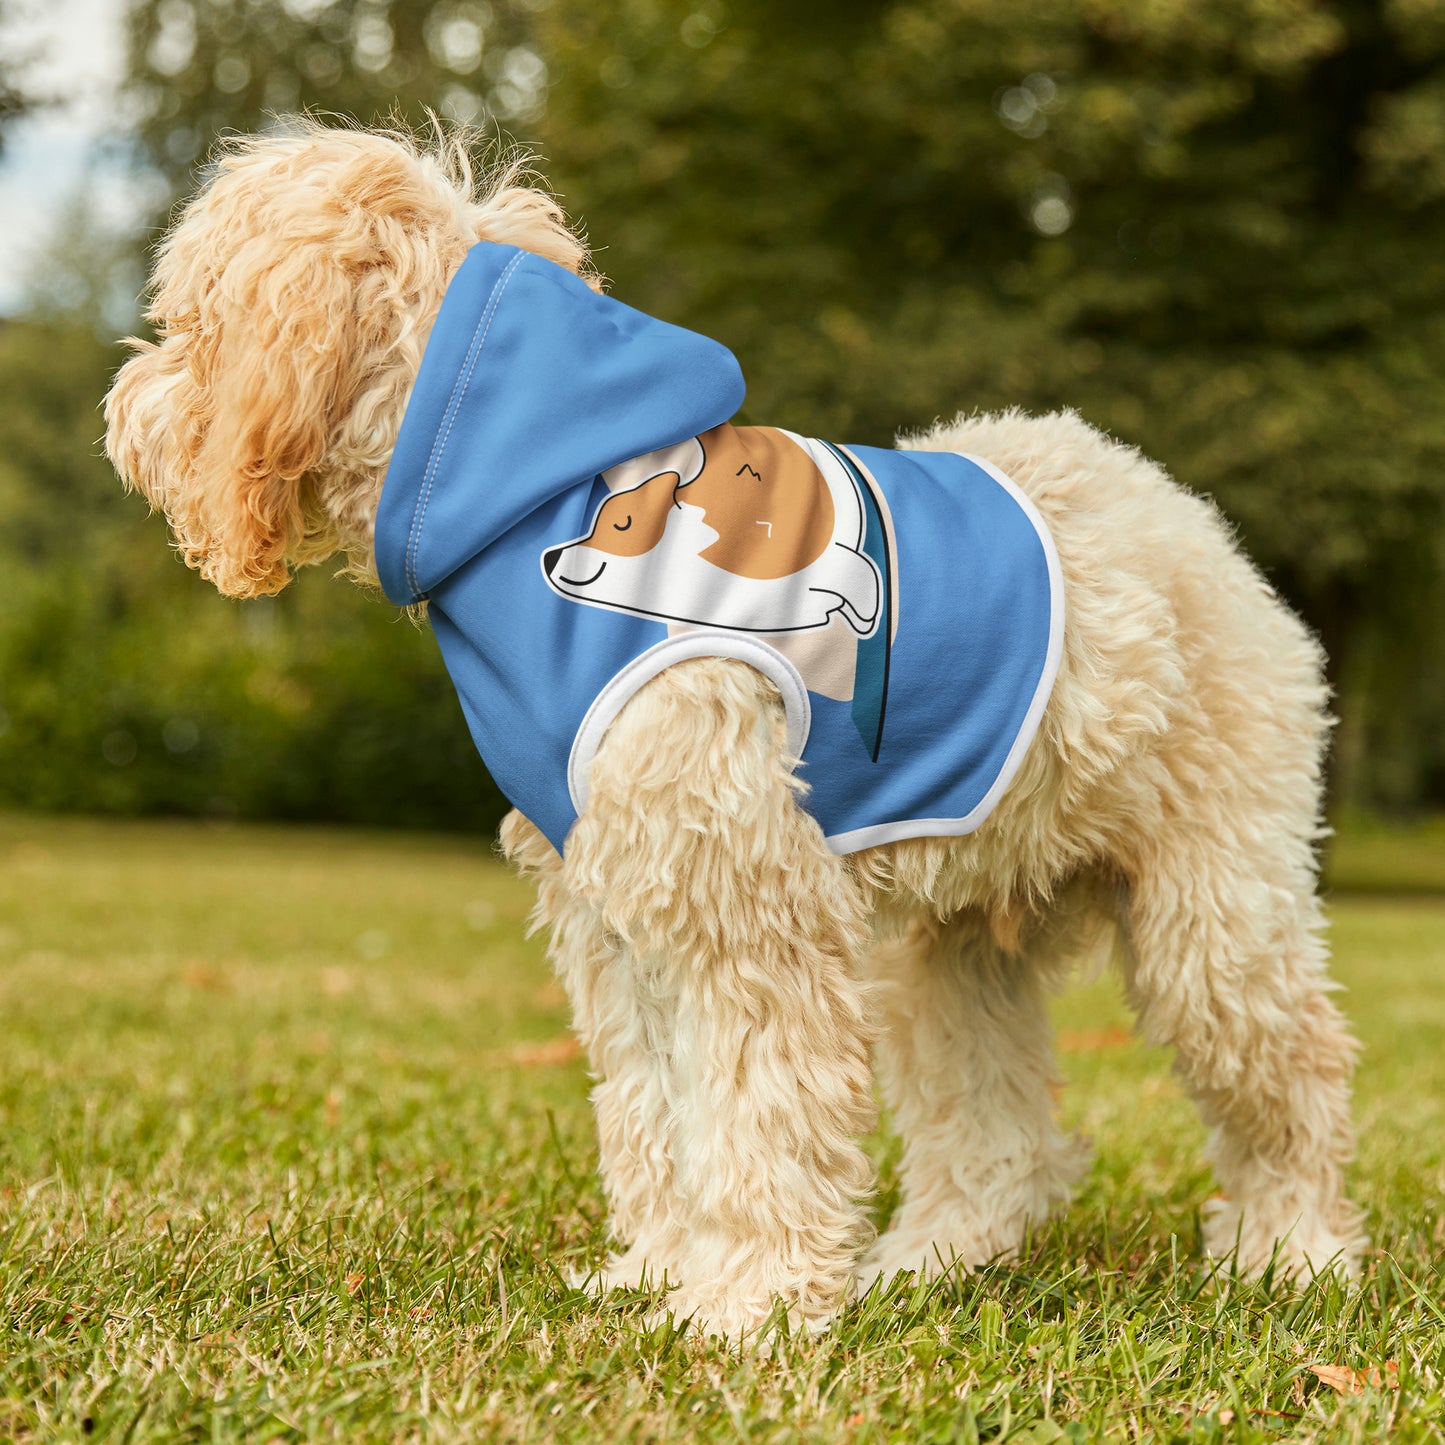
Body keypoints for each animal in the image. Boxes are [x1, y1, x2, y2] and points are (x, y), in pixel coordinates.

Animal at [101, 124, 1364, 1340]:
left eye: (189, 320)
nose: (123, 408)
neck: (530, 494)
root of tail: (1185, 517)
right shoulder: (619, 908)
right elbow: (656, 1109)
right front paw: (661, 1270)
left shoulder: (745, 903)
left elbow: (759, 1111)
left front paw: (745, 1303)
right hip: (950, 948)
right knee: (995, 1131)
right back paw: (931, 1258)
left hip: (1213, 914)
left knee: (1293, 1074)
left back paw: (1290, 1251)